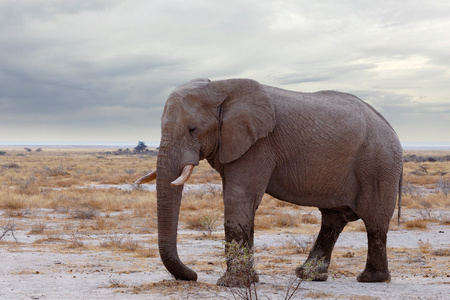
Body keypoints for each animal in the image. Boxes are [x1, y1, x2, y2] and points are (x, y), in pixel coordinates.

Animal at [135, 78, 402, 288]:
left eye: (193, 129)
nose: (193, 275)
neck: (221, 88)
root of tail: (391, 127)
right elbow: (243, 202)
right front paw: (248, 280)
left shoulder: (259, 145)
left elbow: (239, 198)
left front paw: (232, 284)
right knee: (332, 220)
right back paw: (307, 275)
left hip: (379, 166)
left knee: (374, 221)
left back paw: (370, 279)